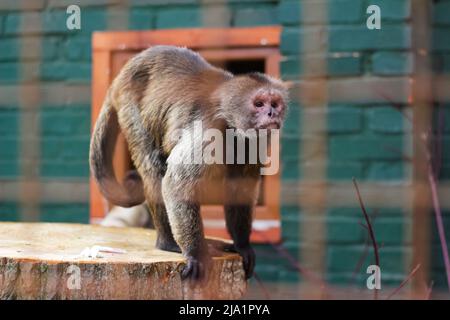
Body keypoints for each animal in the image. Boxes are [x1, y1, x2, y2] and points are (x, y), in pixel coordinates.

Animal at [89, 45, 288, 280]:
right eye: (259, 104)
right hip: (130, 106)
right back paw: (168, 243)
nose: (272, 113)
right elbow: (176, 184)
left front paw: (242, 245)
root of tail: (122, 76)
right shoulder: (209, 129)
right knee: (154, 168)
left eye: (274, 104)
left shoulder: (256, 142)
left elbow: (240, 190)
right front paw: (194, 253)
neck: (231, 126)